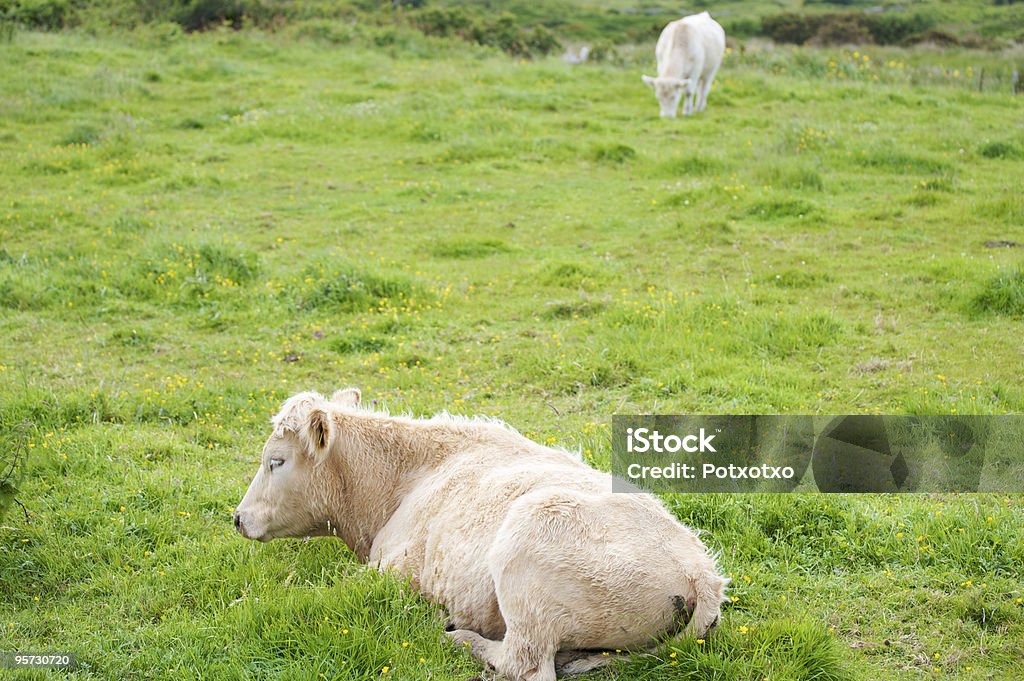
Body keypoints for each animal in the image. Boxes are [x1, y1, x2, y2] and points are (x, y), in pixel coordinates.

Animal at [234, 387, 729, 679]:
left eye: (276, 460)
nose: (238, 518)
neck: (406, 479)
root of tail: (701, 572)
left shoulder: (388, 572)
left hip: (527, 556)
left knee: (523, 664)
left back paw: (457, 636)